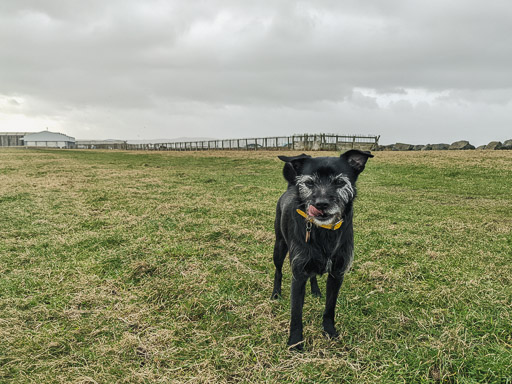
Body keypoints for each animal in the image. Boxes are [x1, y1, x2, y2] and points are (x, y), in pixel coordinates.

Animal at [272, 148, 372, 350]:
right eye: (309, 183)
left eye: (340, 182)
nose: (321, 204)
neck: (324, 232)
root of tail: (290, 187)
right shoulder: (298, 274)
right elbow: (296, 313)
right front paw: (295, 342)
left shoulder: (337, 274)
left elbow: (330, 308)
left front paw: (330, 331)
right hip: (279, 247)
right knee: (278, 271)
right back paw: (276, 293)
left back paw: (316, 291)